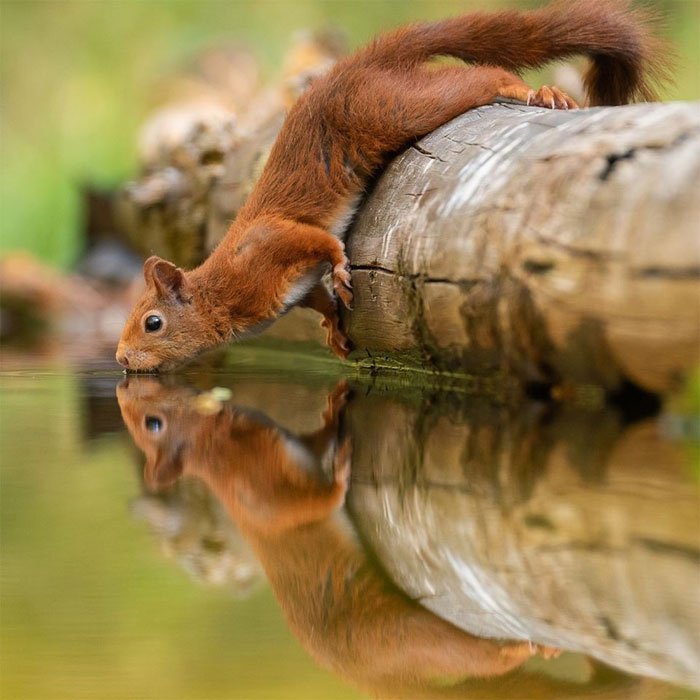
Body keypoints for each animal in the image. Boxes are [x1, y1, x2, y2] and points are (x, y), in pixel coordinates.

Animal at [115, 0, 660, 372]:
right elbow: (317, 297)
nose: (120, 360)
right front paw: (333, 329)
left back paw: (533, 90)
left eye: (152, 322)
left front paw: (340, 265)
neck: (221, 291)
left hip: (392, 107)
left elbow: (316, 239)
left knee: (479, 78)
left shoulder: (269, 245)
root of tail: (359, 64)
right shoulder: (291, 289)